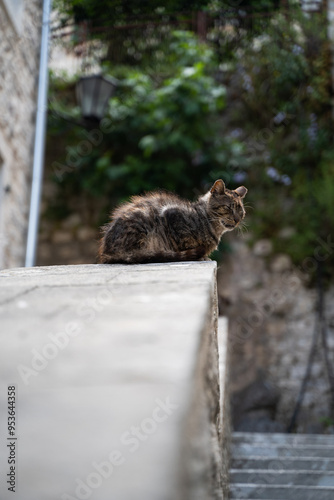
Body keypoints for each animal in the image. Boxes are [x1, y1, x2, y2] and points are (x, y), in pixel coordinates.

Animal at [98, 180, 247, 266]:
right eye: (228, 207)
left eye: (241, 212)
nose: (237, 220)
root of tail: (107, 251)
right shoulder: (171, 214)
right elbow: (182, 244)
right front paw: (199, 257)